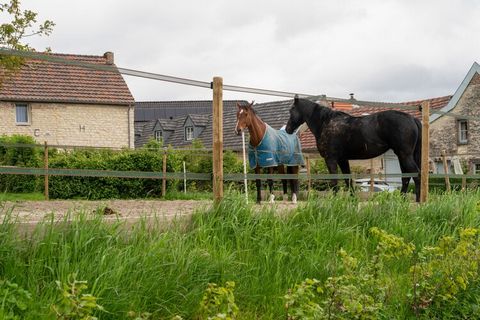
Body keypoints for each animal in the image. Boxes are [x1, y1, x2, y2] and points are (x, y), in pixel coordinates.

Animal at [284, 96, 420, 201]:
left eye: (291, 110)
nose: (288, 129)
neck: (325, 123)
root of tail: (412, 118)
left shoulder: (331, 159)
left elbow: (335, 180)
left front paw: (334, 200)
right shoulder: (342, 160)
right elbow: (348, 179)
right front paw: (352, 199)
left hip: (404, 155)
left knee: (416, 174)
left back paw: (419, 201)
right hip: (402, 156)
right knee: (406, 177)